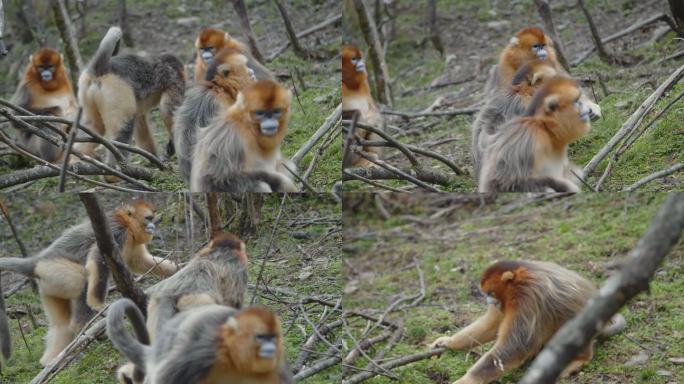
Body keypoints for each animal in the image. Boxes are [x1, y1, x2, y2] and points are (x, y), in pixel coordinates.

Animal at [105, 302, 292, 382]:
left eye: (273, 337)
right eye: (261, 337)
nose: (271, 348)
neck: (235, 361)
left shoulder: (276, 366)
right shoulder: (203, 352)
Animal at [430, 260, 628, 382]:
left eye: (490, 293)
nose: (488, 301)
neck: (520, 278)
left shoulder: (527, 296)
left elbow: (515, 347)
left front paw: (467, 379)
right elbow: (492, 326)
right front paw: (448, 341)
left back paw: (580, 358)